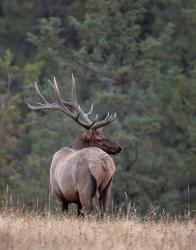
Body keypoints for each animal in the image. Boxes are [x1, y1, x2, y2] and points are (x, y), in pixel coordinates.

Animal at [28, 74, 121, 215]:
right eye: (99, 138)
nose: (119, 147)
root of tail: (105, 164)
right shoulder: (75, 200)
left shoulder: (60, 194)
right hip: (107, 188)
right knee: (104, 211)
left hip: (85, 187)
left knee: (90, 212)